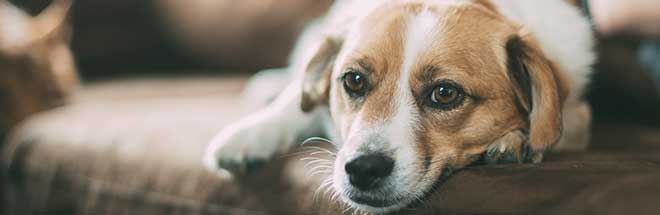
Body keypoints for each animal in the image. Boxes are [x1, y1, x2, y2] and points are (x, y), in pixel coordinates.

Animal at [204, 0, 596, 213]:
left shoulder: (576, 112)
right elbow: (296, 104)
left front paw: (515, 140)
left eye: (444, 93)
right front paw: (250, 135)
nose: (363, 169)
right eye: (353, 80)